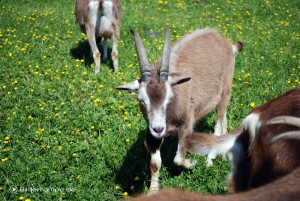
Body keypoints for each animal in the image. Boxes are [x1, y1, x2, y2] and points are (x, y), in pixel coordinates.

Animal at [116, 27, 243, 192]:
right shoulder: (152, 134)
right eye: (141, 100)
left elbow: (178, 159)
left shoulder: (186, 125)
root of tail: (226, 43)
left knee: (219, 120)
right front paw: (152, 191)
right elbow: (155, 163)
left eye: (170, 97)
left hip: (225, 90)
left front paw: (192, 162)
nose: (158, 129)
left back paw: (210, 158)